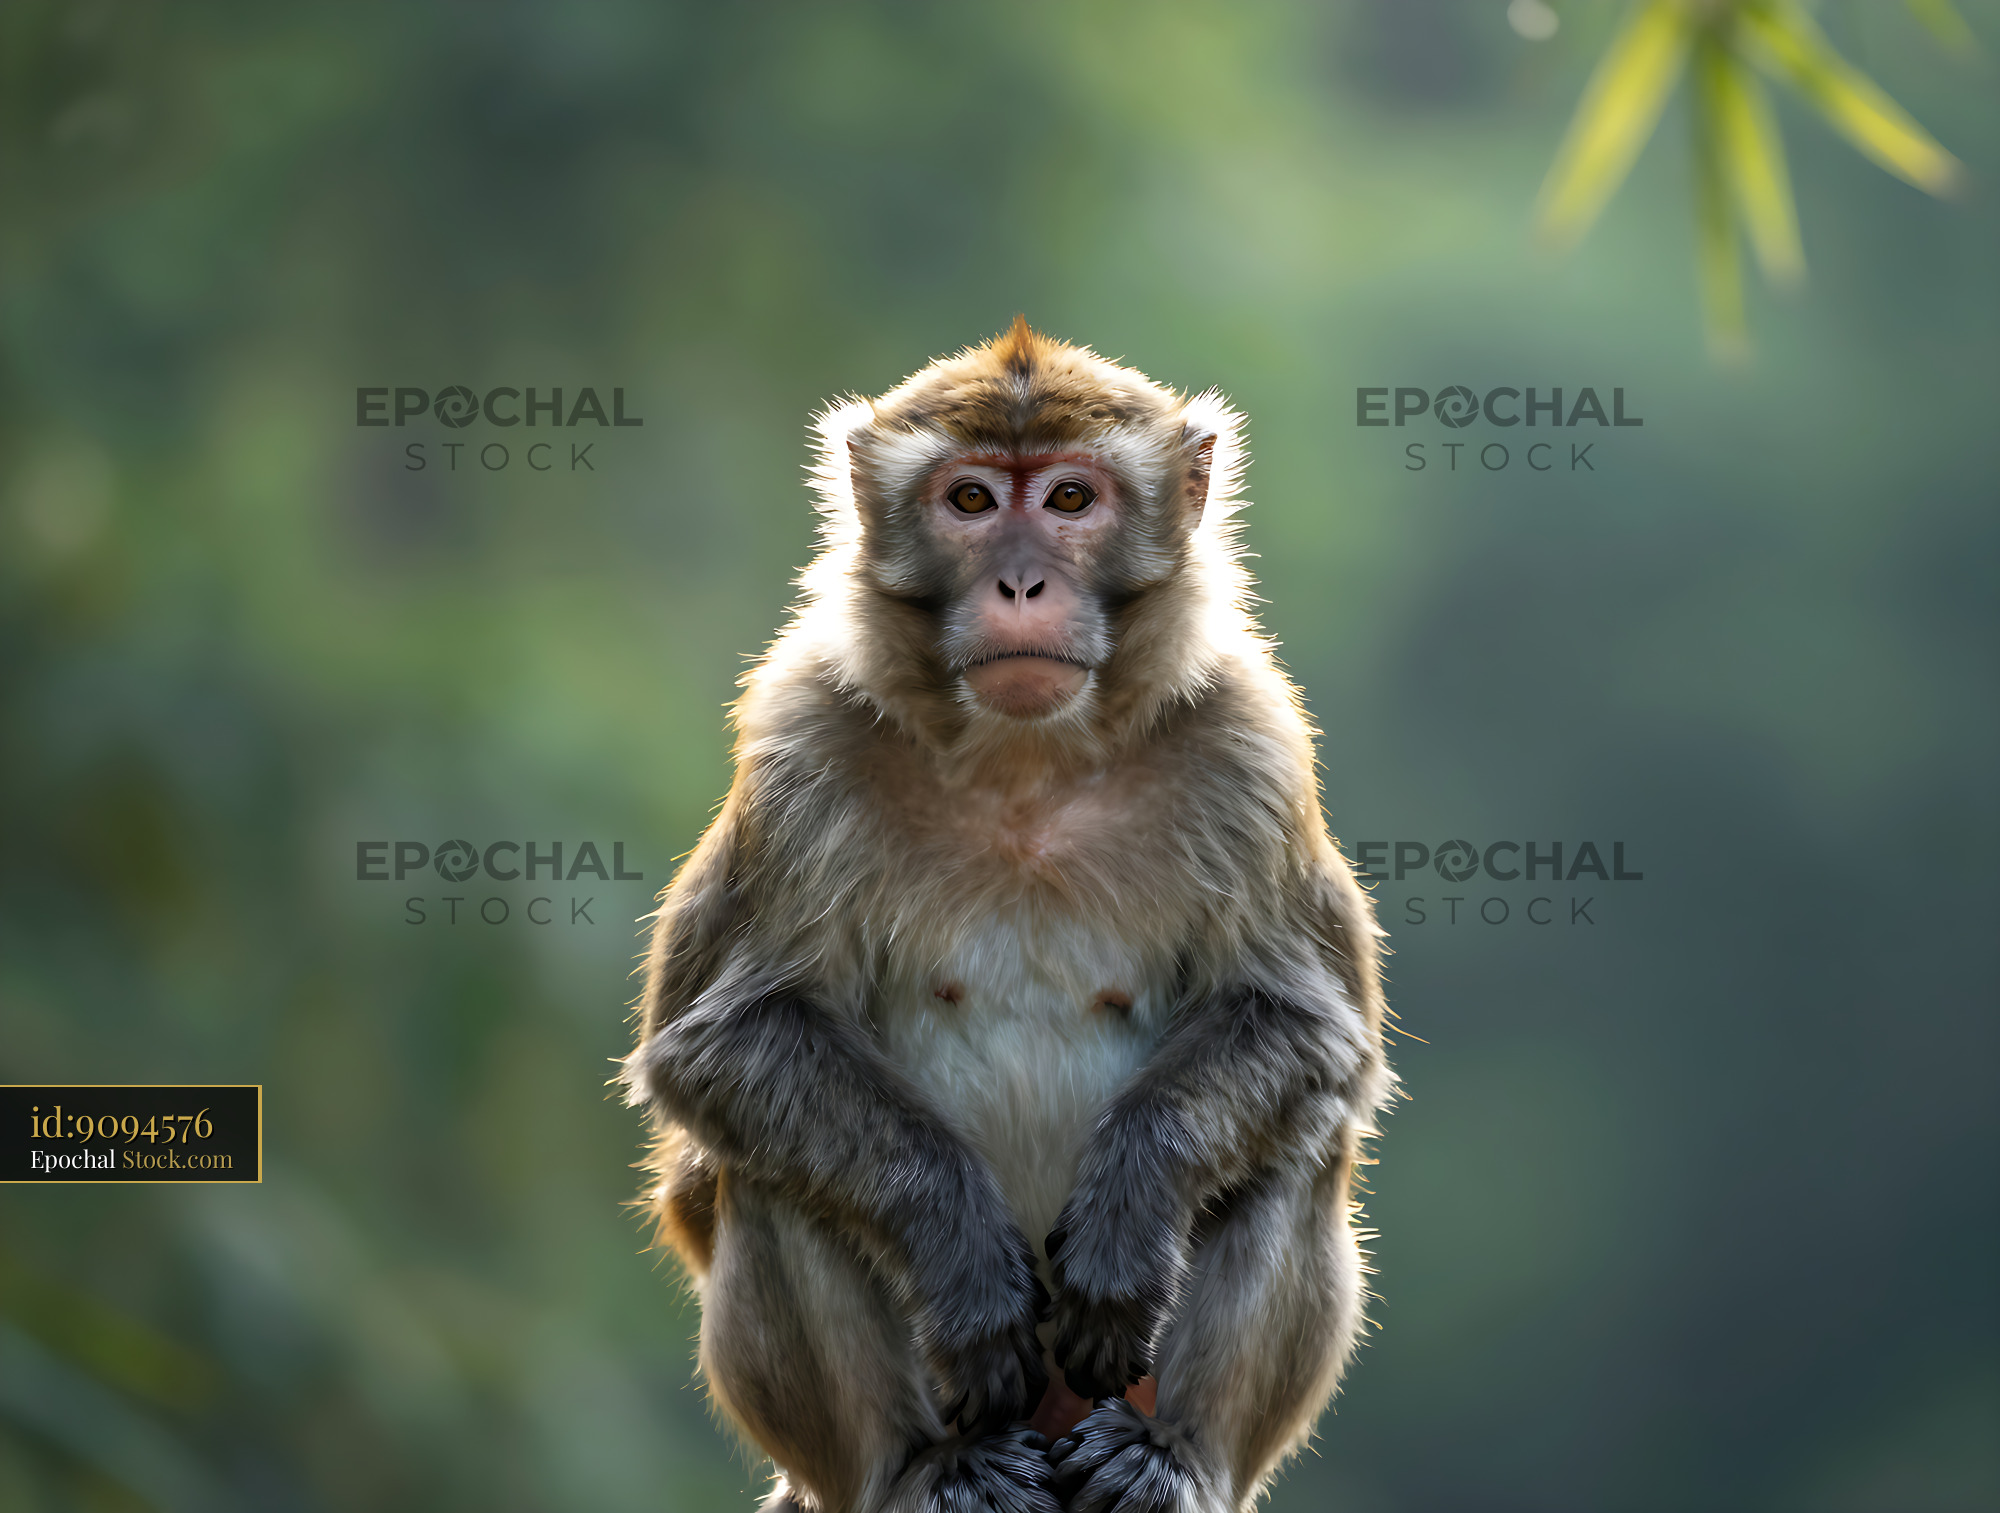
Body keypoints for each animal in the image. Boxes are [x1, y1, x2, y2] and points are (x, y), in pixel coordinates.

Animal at [622, 319, 1389, 1513]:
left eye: (1070, 498)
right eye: (972, 500)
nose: (1020, 581)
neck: (1026, 762)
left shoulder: (1248, 741)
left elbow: (1303, 1023)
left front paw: (1125, 1222)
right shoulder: (804, 740)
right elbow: (728, 1041)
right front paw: (968, 1268)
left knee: (1293, 1149)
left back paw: (1170, 1458)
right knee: (770, 1169)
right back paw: (925, 1468)